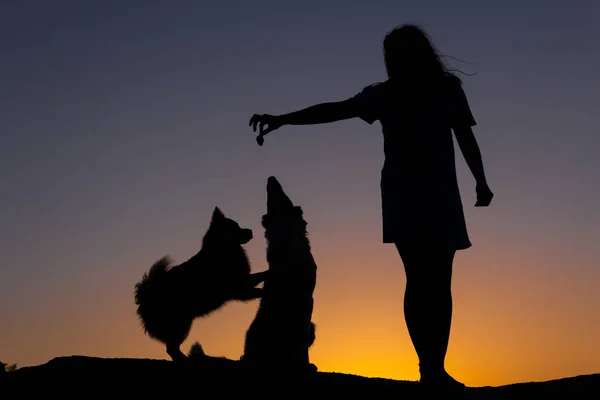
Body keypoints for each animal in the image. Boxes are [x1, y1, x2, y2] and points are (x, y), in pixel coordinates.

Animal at [136, 206, 270, 362]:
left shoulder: (243, 284)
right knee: (171, 348)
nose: (250, 231)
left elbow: (258, 277)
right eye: (234, 227)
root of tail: (146, 292)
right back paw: (186, 360)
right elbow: (259, 285)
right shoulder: (239, 288)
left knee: (172, 348)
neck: (222, 250)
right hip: (182, 324)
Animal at [243, 177, 322, 374]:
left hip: (311, 328)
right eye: (269, 201)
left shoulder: (307, 299)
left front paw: (305, 365)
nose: (271, 178)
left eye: (285, 197)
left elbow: (300, 340)